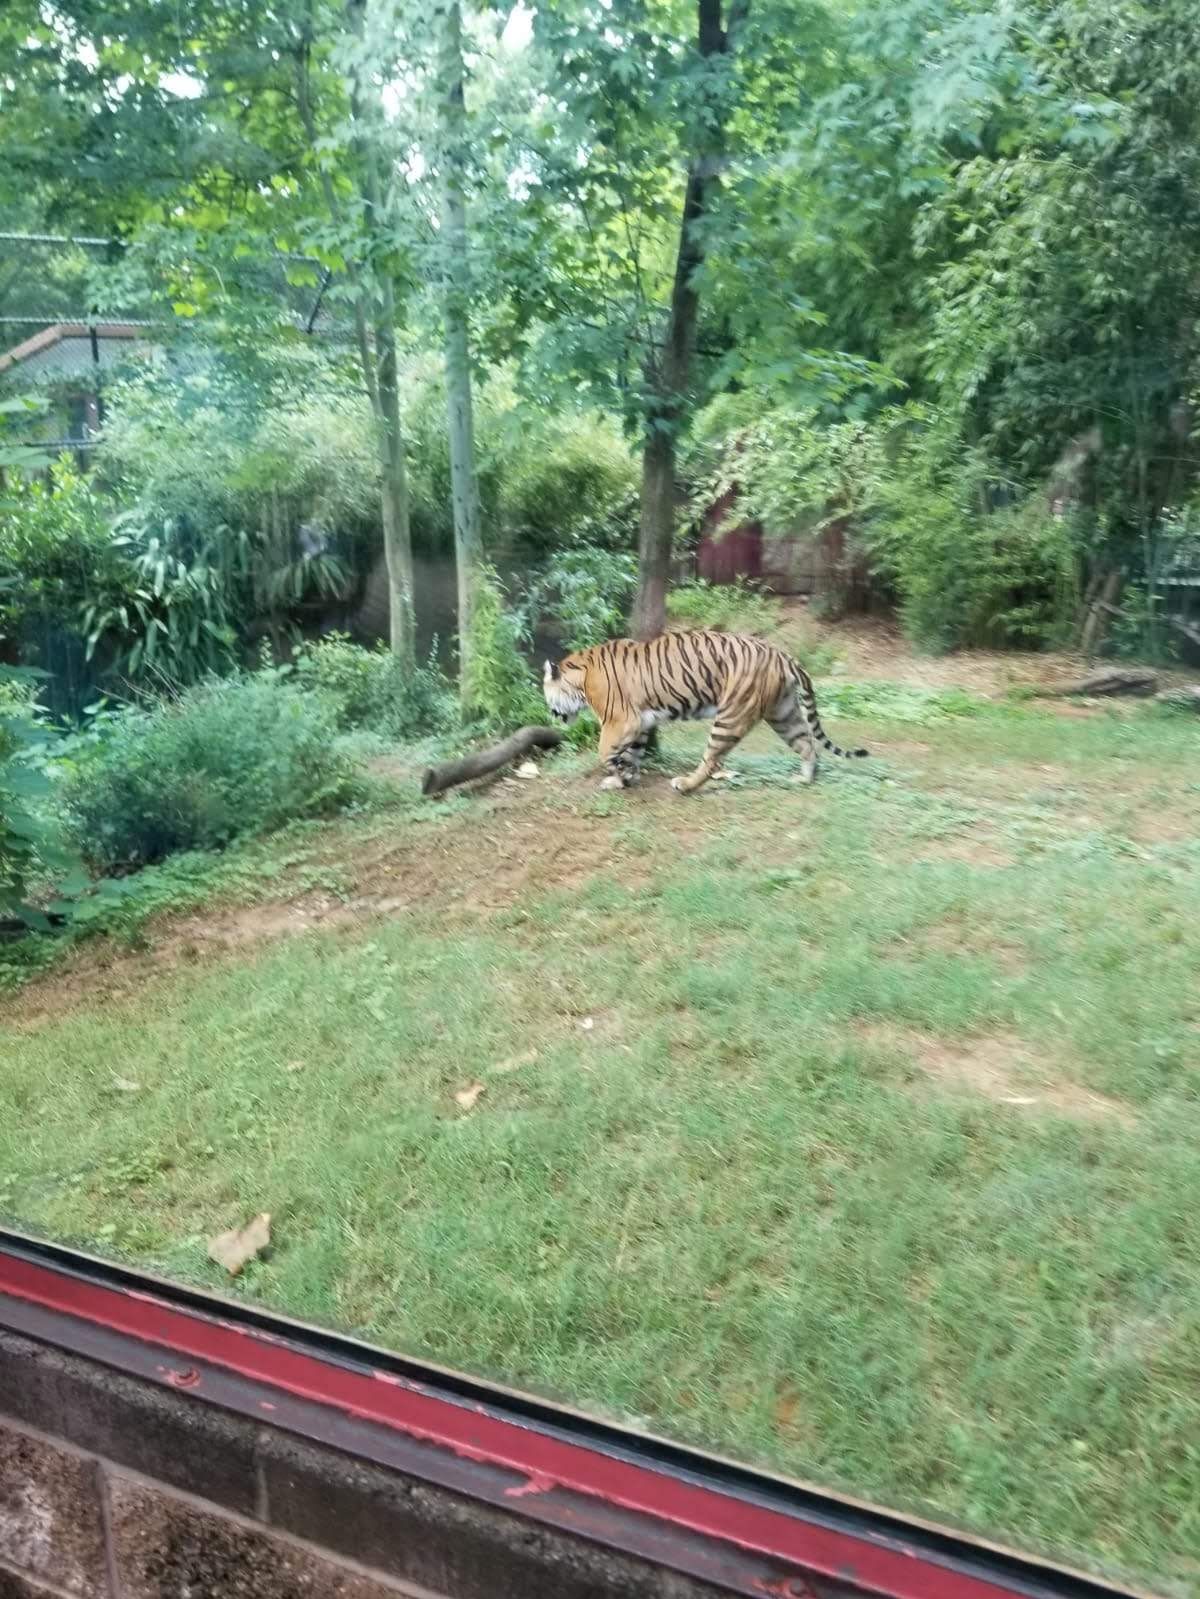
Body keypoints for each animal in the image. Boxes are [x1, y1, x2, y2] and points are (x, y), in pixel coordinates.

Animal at [540, 626, 870, 796]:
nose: (552, 715)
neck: (581, 679)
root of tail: (781, 653)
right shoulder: (640, 723)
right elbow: (632, 753)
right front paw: (624, 778)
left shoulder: (621, 720)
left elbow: (604, 751)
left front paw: (619, 773)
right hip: (783, 712)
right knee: (807, 742)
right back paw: (805, 779)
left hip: (731, 714)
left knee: (712, 760)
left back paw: (685, 785)